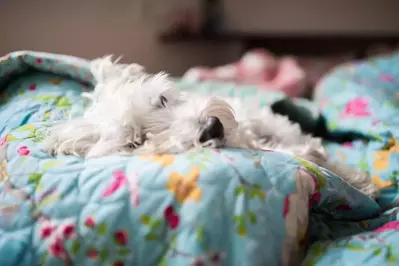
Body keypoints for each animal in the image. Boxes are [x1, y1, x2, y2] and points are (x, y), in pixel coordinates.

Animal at [43, 56, 378, 197]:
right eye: (136, 142)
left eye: (162, 100)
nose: (212, 126)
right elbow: (304, 154)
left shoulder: (270, 124)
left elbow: (308, 146)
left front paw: (361, 181)